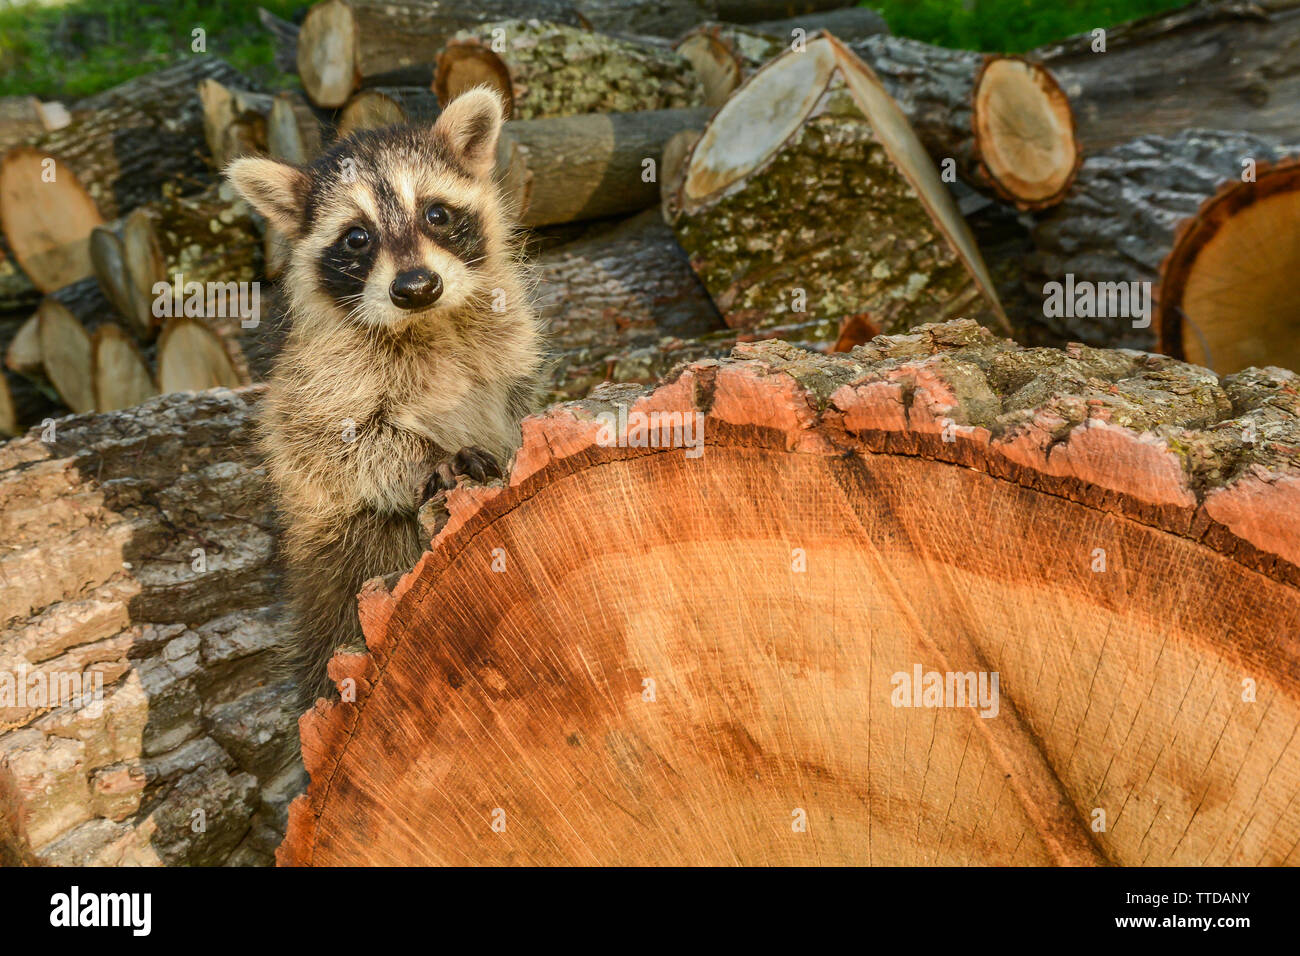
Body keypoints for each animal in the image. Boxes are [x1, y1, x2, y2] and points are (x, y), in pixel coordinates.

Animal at [226, 89, 540, 702]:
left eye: (436, 214)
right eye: (357, 237)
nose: (416, 287)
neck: (428, 323)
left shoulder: (507, 336)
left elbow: (516, 401)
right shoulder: (318, 377)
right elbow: (332, 442)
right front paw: (430, 455)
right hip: (343, 556)